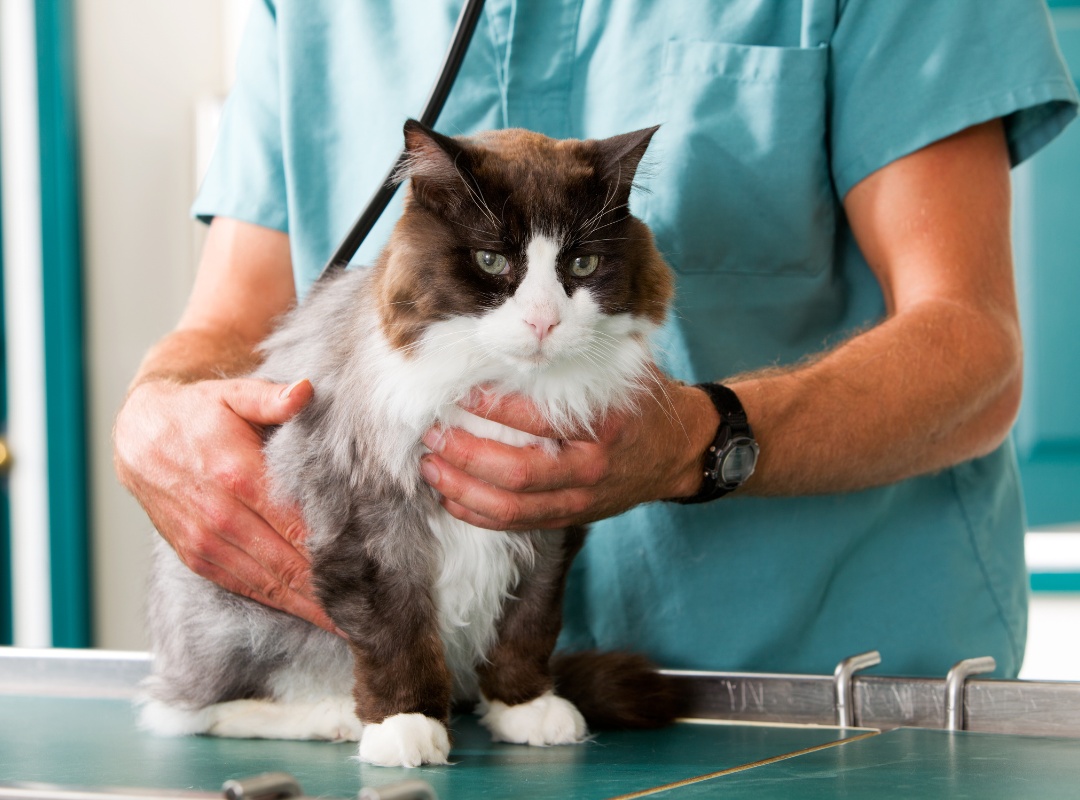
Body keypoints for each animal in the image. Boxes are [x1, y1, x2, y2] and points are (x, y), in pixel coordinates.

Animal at [141, 118, 682, 768]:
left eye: (581, 265)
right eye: (490, 260)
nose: (542, 322)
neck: (501, 386)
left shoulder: (549, 526)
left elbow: (527, 626)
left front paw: (524, 706)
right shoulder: (371, 525)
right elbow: (397, 636)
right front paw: (406, 726)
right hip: (238, 620)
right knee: (189, 711)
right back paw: (332, 717)